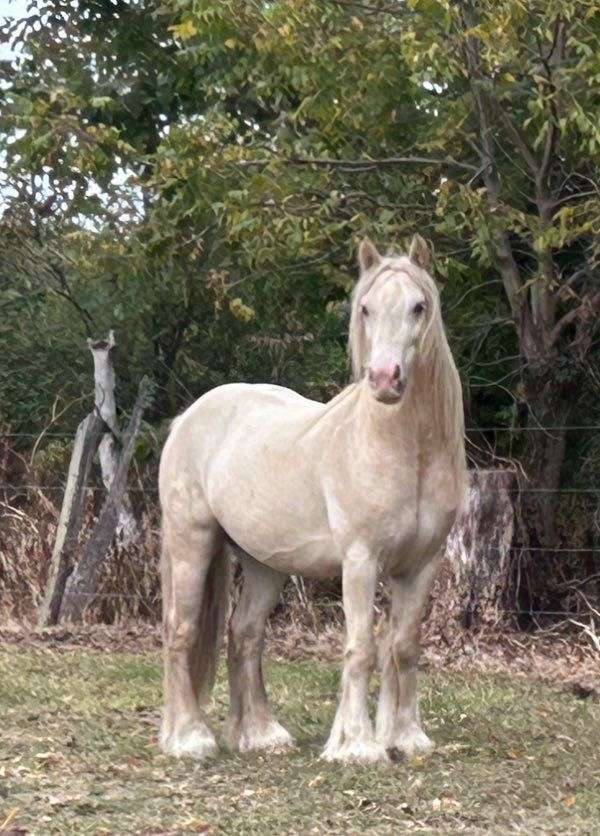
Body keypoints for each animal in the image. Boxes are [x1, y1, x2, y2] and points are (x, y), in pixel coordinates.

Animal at [157, 235, 466, 764]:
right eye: (365, 308)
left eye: (418, 307)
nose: (385, 379)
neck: (405, 452)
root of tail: (188, 417)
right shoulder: (361, 560)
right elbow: (362, 647)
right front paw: (357, 746)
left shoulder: (421, 564)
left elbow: (403, 646)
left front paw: (404, 737)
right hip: (190, 543)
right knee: (182, 632)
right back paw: (190, 738)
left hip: (264, 563)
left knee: (244, 635)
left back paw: (259, 735)